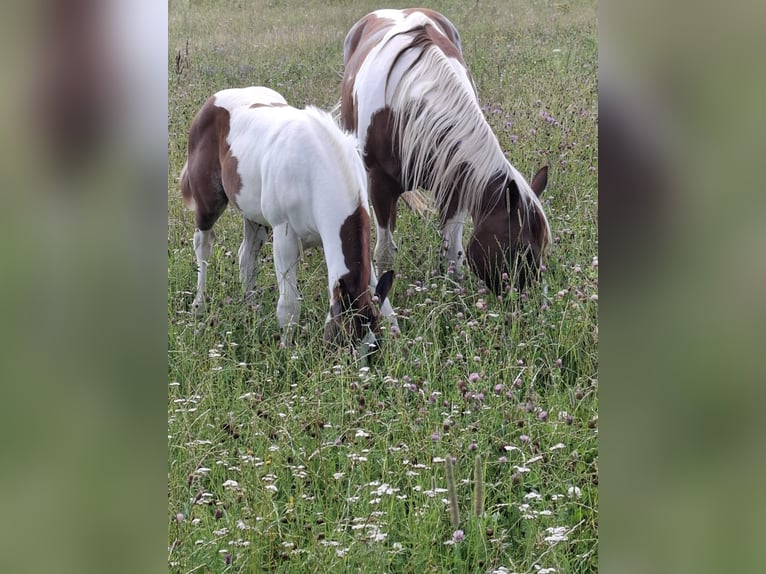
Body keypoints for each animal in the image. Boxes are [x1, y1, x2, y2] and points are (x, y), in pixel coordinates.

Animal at [180, 84, 396, 346]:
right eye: (342, 341)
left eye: (374, 347)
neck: (314, 171)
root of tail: (212, 101)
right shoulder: (284, 238)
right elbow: (289, 306)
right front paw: (287, 348)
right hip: (209, 204)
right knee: (203, 246)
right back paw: (199, 305)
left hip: (254, 217)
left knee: (246, 256)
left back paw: (251, 309)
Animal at [342, 9, 552, 294]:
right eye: (521, 250)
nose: (528, 301)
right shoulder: (380, 186)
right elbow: (385, 253)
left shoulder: (454, 185)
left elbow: (453, 253)